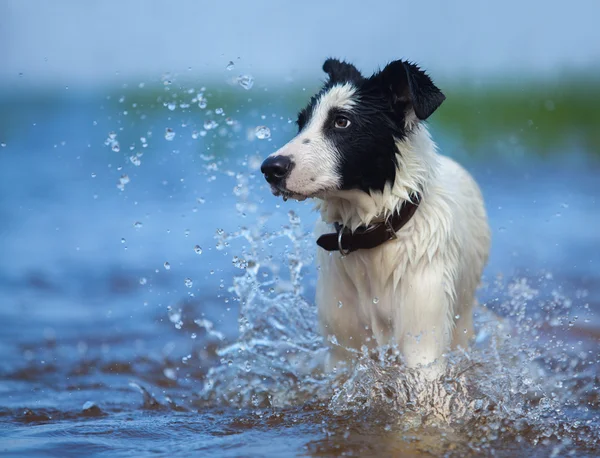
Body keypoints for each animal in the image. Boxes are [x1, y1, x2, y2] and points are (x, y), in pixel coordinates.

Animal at [260, 59, 490, 378]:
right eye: (301, 122)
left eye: (341, 121)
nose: (270, 169)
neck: (371, 235)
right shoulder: (344, 349)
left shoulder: (423, 343)